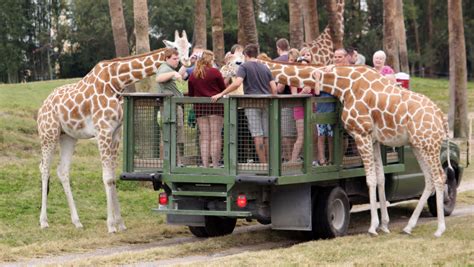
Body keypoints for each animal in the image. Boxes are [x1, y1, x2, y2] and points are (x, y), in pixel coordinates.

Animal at [37, 30, 191, 233]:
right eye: (175, 48)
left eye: (189, 46)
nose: (187, 61)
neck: (117, 81)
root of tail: (41, 107)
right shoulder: (103, 130)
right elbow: (107, 177)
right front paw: (111, 225)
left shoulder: (116, 132)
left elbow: (112, 176)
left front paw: (120, 223)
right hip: (49, 134)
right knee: (44, 169)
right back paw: (44, 221)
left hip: (68, 137)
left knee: (62, 171)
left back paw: (77, 221)